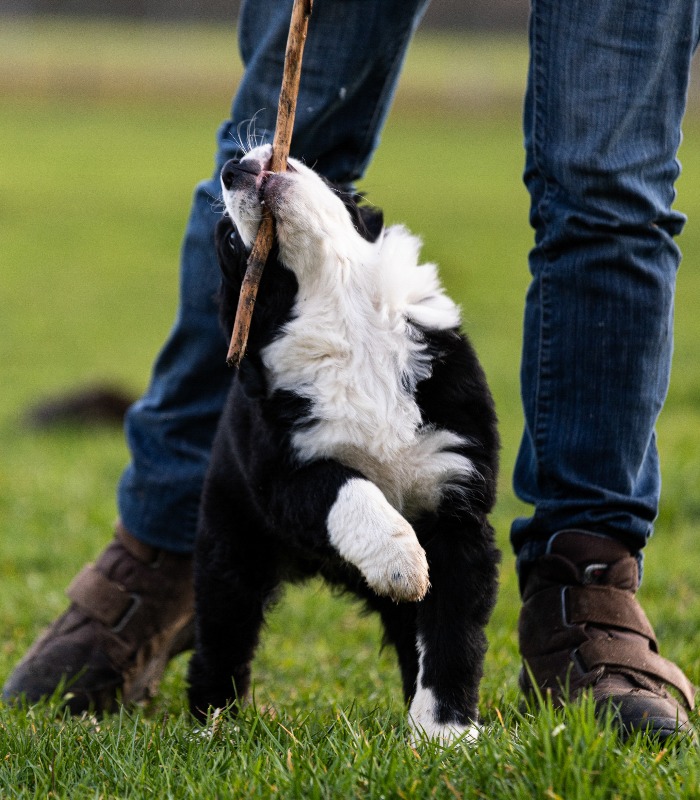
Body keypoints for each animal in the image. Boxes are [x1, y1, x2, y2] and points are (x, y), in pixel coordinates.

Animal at [189, 144, 500, 744]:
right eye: (232, 242)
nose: (234, 169)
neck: (348, 322)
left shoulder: (457, 493)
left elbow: (452, 634)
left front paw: (446, 736)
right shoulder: (284, 474)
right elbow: (349, 488)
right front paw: (400, 561)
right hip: (231, 544)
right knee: (220, 637)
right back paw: (211, 728)